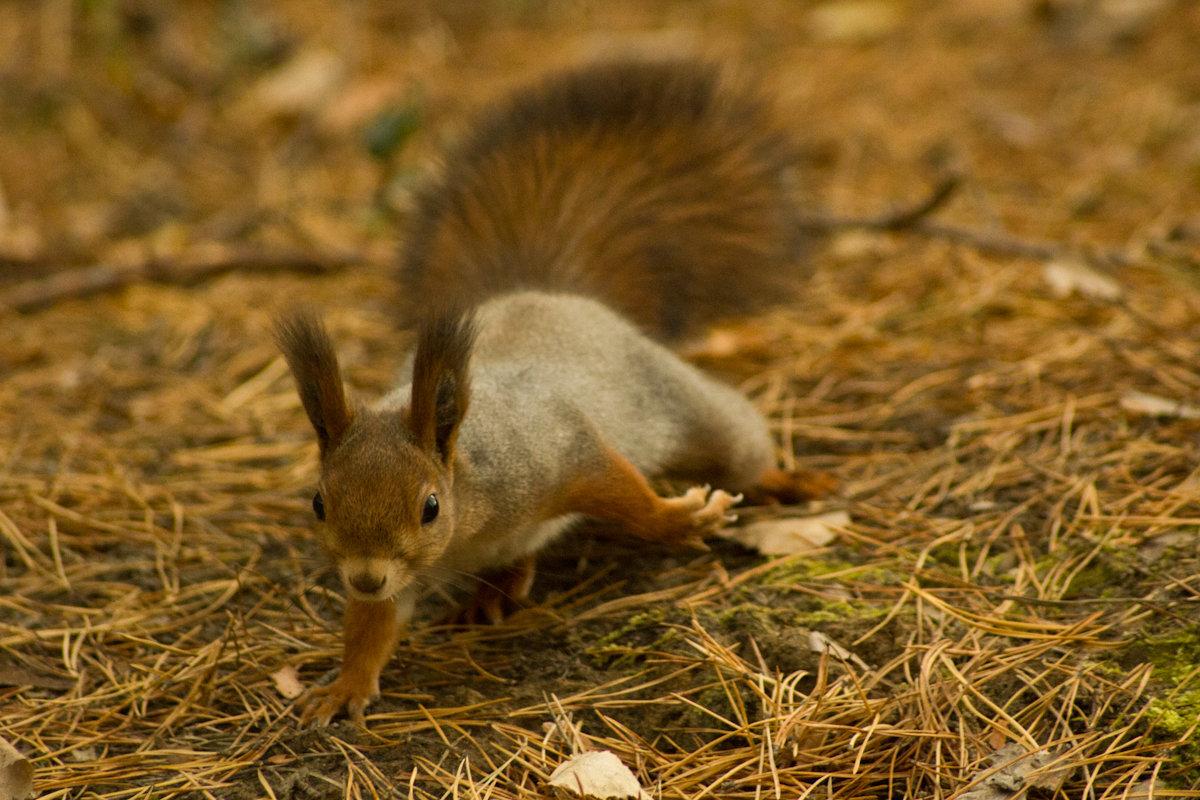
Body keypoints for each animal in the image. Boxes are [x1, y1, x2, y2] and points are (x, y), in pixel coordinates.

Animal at [274, 59, 835, 729]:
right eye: (318, 503)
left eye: (430, 506)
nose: (362, 578)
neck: (467, 522)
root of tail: (550, 292)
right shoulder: (398, 575)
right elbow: (373, 625)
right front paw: (347, 683)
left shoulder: (553, 450)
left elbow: (619, 489)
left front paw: (676, 519)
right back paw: (492, 593)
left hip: (685, 401)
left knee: (736, 439)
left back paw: (778, 479)